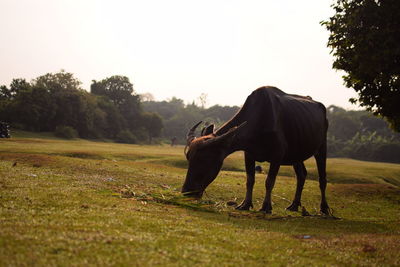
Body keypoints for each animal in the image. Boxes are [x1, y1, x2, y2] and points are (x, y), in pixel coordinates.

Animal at [183, 87, 330, 215]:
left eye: (205, 159)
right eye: (189, 159)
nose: (187, 192)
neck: (260, 119)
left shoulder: (277, 156)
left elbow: (269, 181)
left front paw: (266, 206)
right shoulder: (249, 154)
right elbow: (250, 180)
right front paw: (245, 204)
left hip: (321, 148)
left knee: (322, 178)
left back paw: (324, 208)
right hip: (296, 154)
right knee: (301, 175)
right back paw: (294, 205)